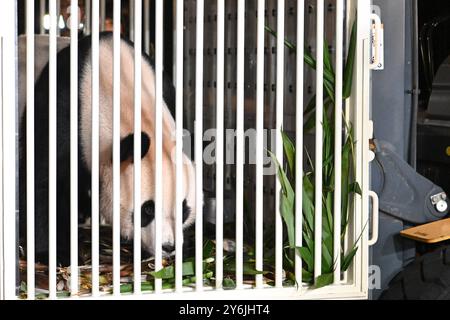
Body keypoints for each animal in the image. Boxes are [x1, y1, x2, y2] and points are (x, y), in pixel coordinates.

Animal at [18, 33, 197, 268]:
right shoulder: (63, 109)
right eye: (148, 209)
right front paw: (55, 254)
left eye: (184, 208)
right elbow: (44, 180)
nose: (168, 246)